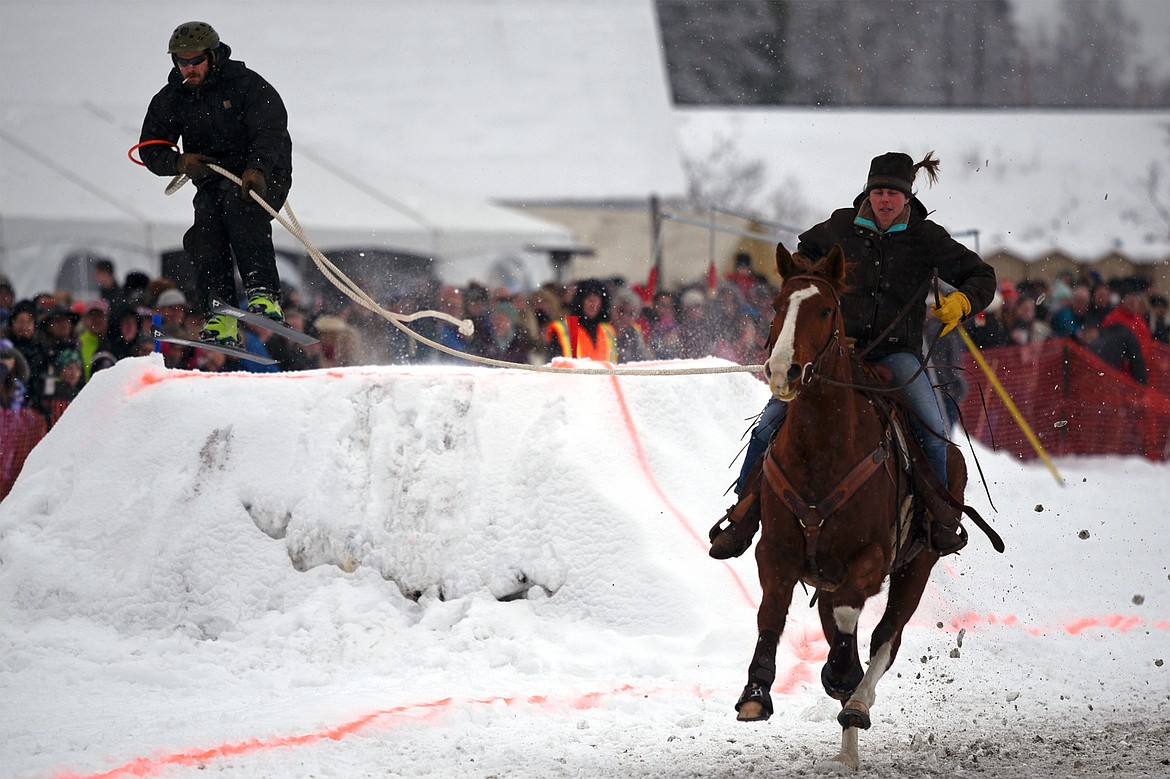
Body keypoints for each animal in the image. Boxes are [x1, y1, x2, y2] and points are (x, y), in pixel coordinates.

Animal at [734, 243, 964, 762]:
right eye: (777, 306)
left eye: (825, 309)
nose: (783, 371)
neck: (822, 449)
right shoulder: (775, 549)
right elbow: (771, 610)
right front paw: (756, 692)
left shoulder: (871, 558)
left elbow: (849, 620)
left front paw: (843, 677)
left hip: (918, 565)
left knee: (885, 635)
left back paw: (856, 703)